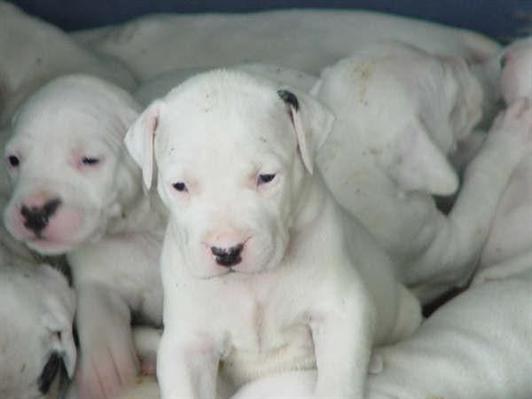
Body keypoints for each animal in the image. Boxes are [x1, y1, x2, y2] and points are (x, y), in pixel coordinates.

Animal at [2, 74, 164, 399]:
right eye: (13, 160)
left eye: (89, 160)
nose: (35, 211)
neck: (138, 232)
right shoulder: (97, 277)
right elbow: (99, 310)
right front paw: (106, 368)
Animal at [124, 71, 420, 399]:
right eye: (179, 186)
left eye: (266, 177)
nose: (227, 251)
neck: (251, 284)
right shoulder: (188, 345)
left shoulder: (340, 312)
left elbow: (338, 380)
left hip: (405, 313)